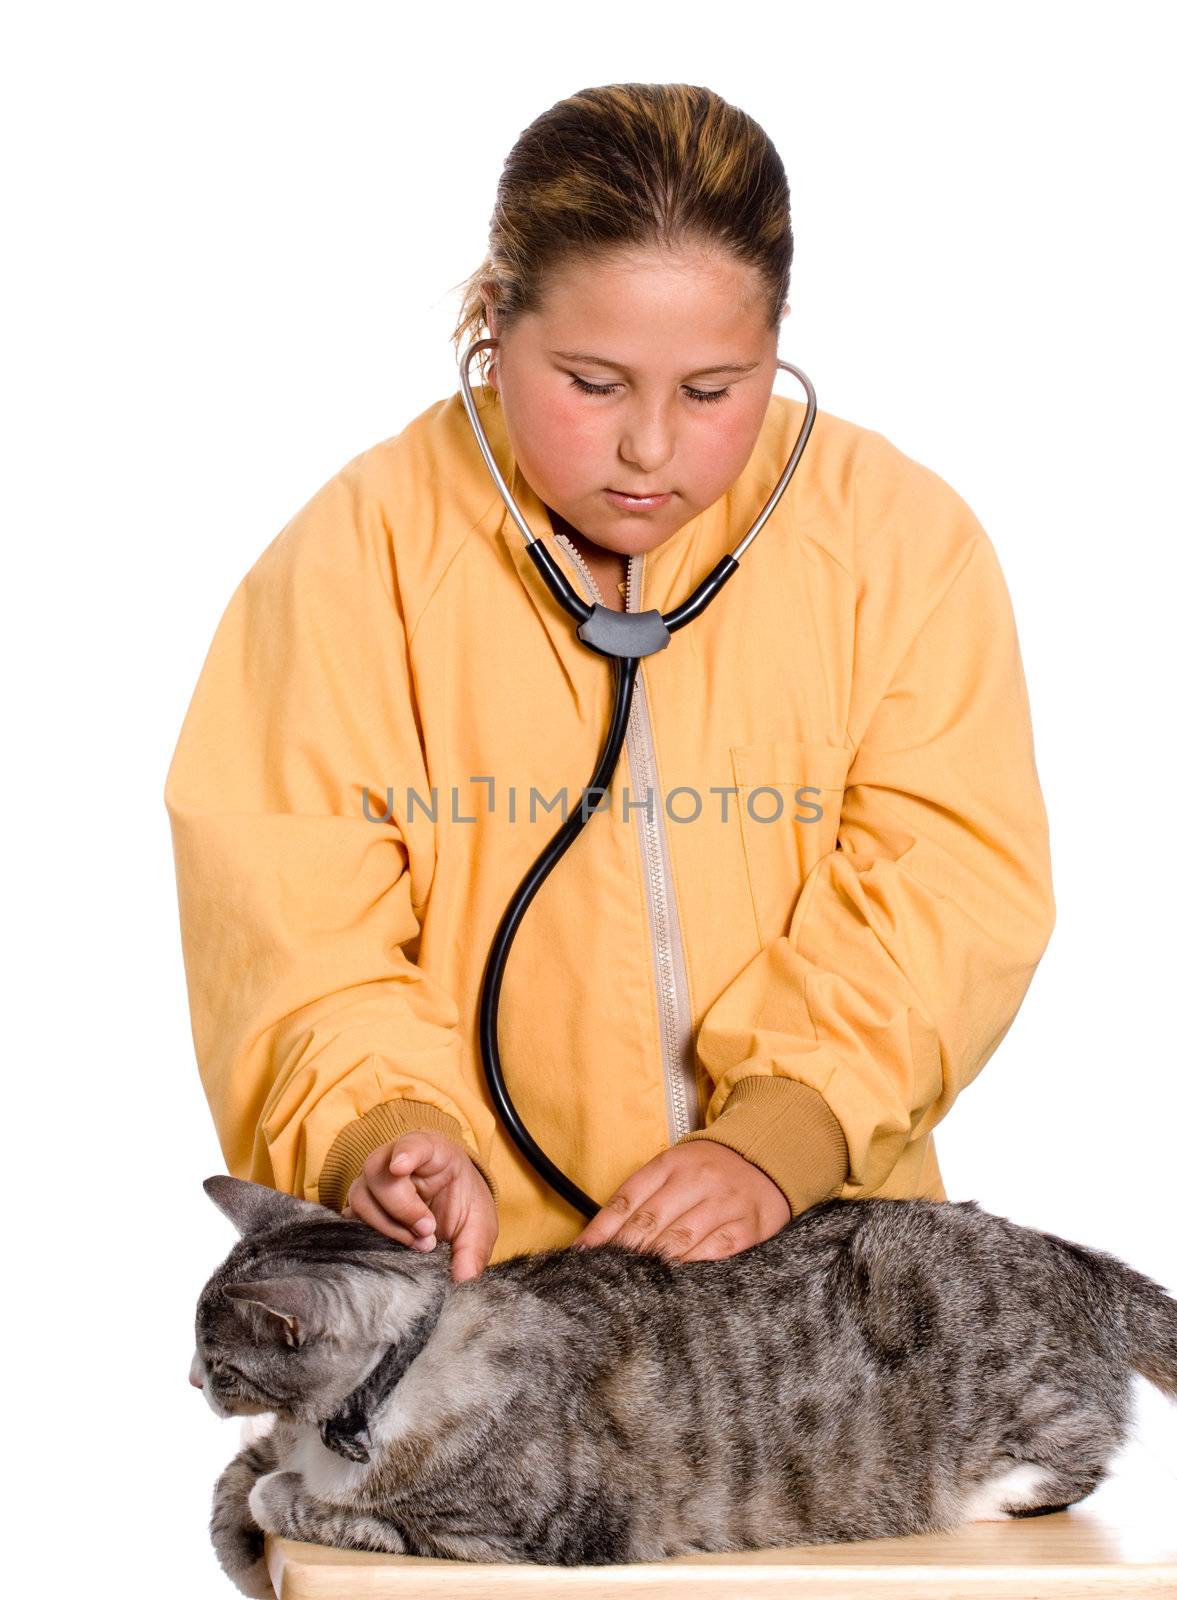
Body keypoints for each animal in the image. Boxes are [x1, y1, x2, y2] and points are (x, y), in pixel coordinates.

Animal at [188, 1171, 1170, 1593]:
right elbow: (238, 1477)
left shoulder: (508, 1537)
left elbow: (300, 1501)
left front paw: (277, 1506)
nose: (189, 1377)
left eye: (216, 1355)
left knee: (1079, 1452)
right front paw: (235, 1546)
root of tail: (1067, 1255)